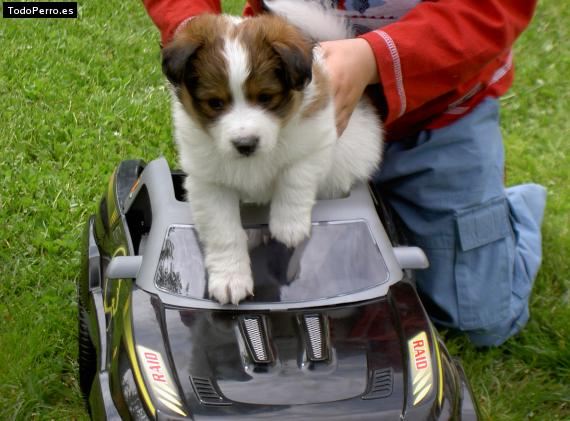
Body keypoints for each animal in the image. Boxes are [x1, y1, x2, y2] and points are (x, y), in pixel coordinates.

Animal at [160, 0, 382, 302]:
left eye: (265, 97)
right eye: (215, 103)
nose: (245, 144)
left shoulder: (316, 138)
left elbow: (295, 175)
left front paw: (288, 226)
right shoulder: (209, 182)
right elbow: (223, 231)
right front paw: (230, 278)